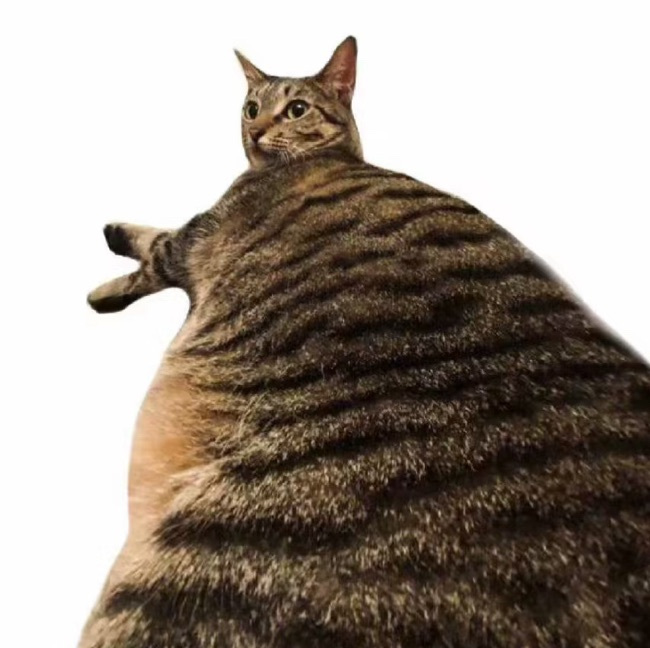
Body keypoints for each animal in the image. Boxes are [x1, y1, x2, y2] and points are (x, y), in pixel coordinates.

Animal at [80, 36, 650, 647]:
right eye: (250, 107)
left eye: (295, 109)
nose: (255, 130)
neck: (329, 158)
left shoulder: (191, 239)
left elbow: (150, 252)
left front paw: (107, 272)